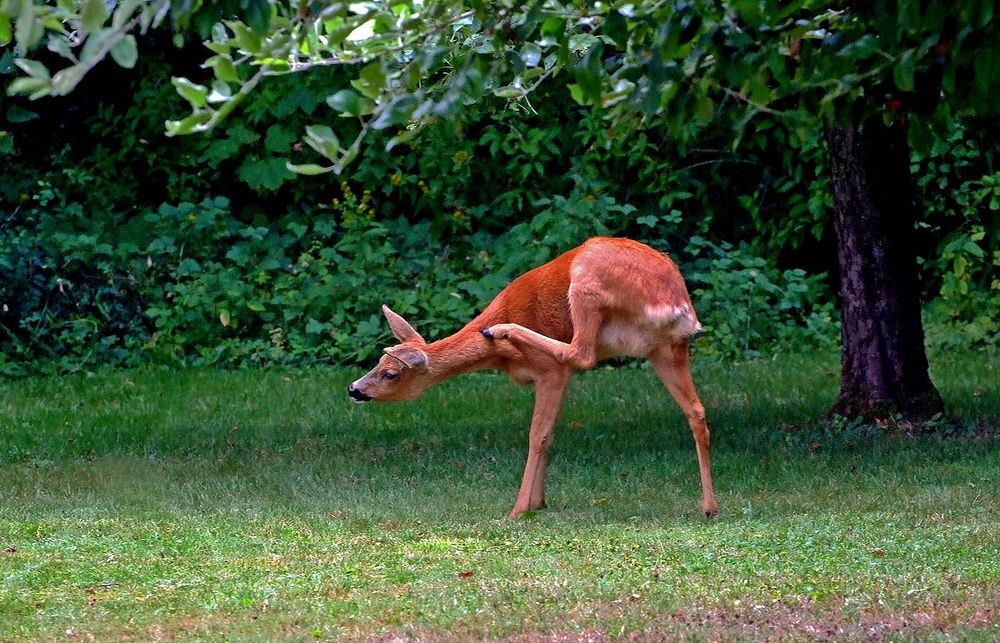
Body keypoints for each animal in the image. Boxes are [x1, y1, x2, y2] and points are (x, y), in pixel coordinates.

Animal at [348, 239, 716, 520]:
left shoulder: (550, 372)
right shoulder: (554, 379)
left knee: (581, 353)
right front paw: (538, 502)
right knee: (696, 411)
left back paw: (502, 330)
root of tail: (677, 305)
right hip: (666, 349)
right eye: (378, 361)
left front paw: (520, 509)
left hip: (587, 282)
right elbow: (549, 434)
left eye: (390, 373)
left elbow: (536, 435)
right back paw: (710, 507)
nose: (354, 389)